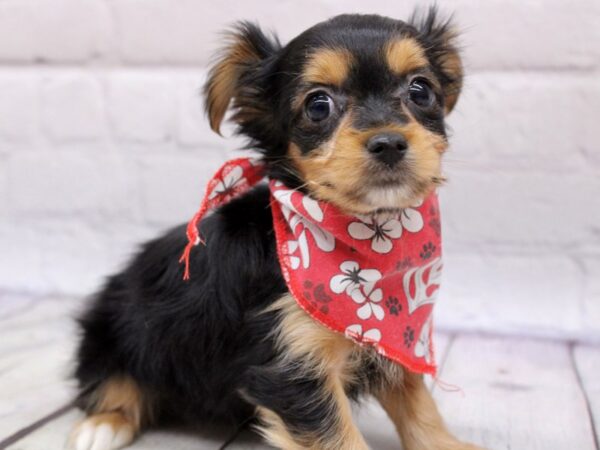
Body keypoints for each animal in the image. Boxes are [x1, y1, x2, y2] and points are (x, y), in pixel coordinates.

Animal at [71, 7, 482, 450]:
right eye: (318, 105)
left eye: (421, 91)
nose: (388, 142)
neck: (369, 240)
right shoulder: (291, 365)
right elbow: (340, 436)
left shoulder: (395, 344)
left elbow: (419, 406)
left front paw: (446, 443)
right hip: (114, 331)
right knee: (113, 379)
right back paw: (104, 423)